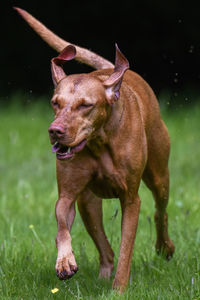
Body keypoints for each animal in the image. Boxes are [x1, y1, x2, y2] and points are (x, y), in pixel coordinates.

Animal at [14, 7, 174, 292]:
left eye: (85, 105)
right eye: (55, 103)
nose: (55, 130)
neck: (100, 142)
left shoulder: (130, 200)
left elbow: (126, 249)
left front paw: (119, 289)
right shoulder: (67, 195)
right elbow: (61, 228)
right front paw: (64, 261)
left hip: (159, 177)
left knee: (160, 212)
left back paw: (164, 247)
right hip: (88, 203)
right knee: (105, 249)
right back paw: (102, 274)